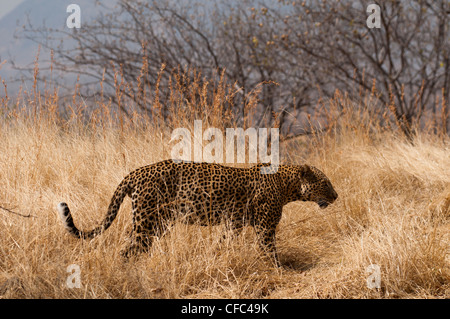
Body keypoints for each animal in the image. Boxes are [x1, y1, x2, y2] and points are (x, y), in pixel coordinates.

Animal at [57, 160, 338, 268]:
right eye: (325, 183)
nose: (336, 196)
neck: (287, 185)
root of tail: (136, 172)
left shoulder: (233, 224)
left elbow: (223, 242)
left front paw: (215, 258)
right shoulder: (265, 227)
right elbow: (269, 250)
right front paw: (280, 269)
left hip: (157, 223)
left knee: (133, 246)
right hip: (146, 221)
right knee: (128, 250)